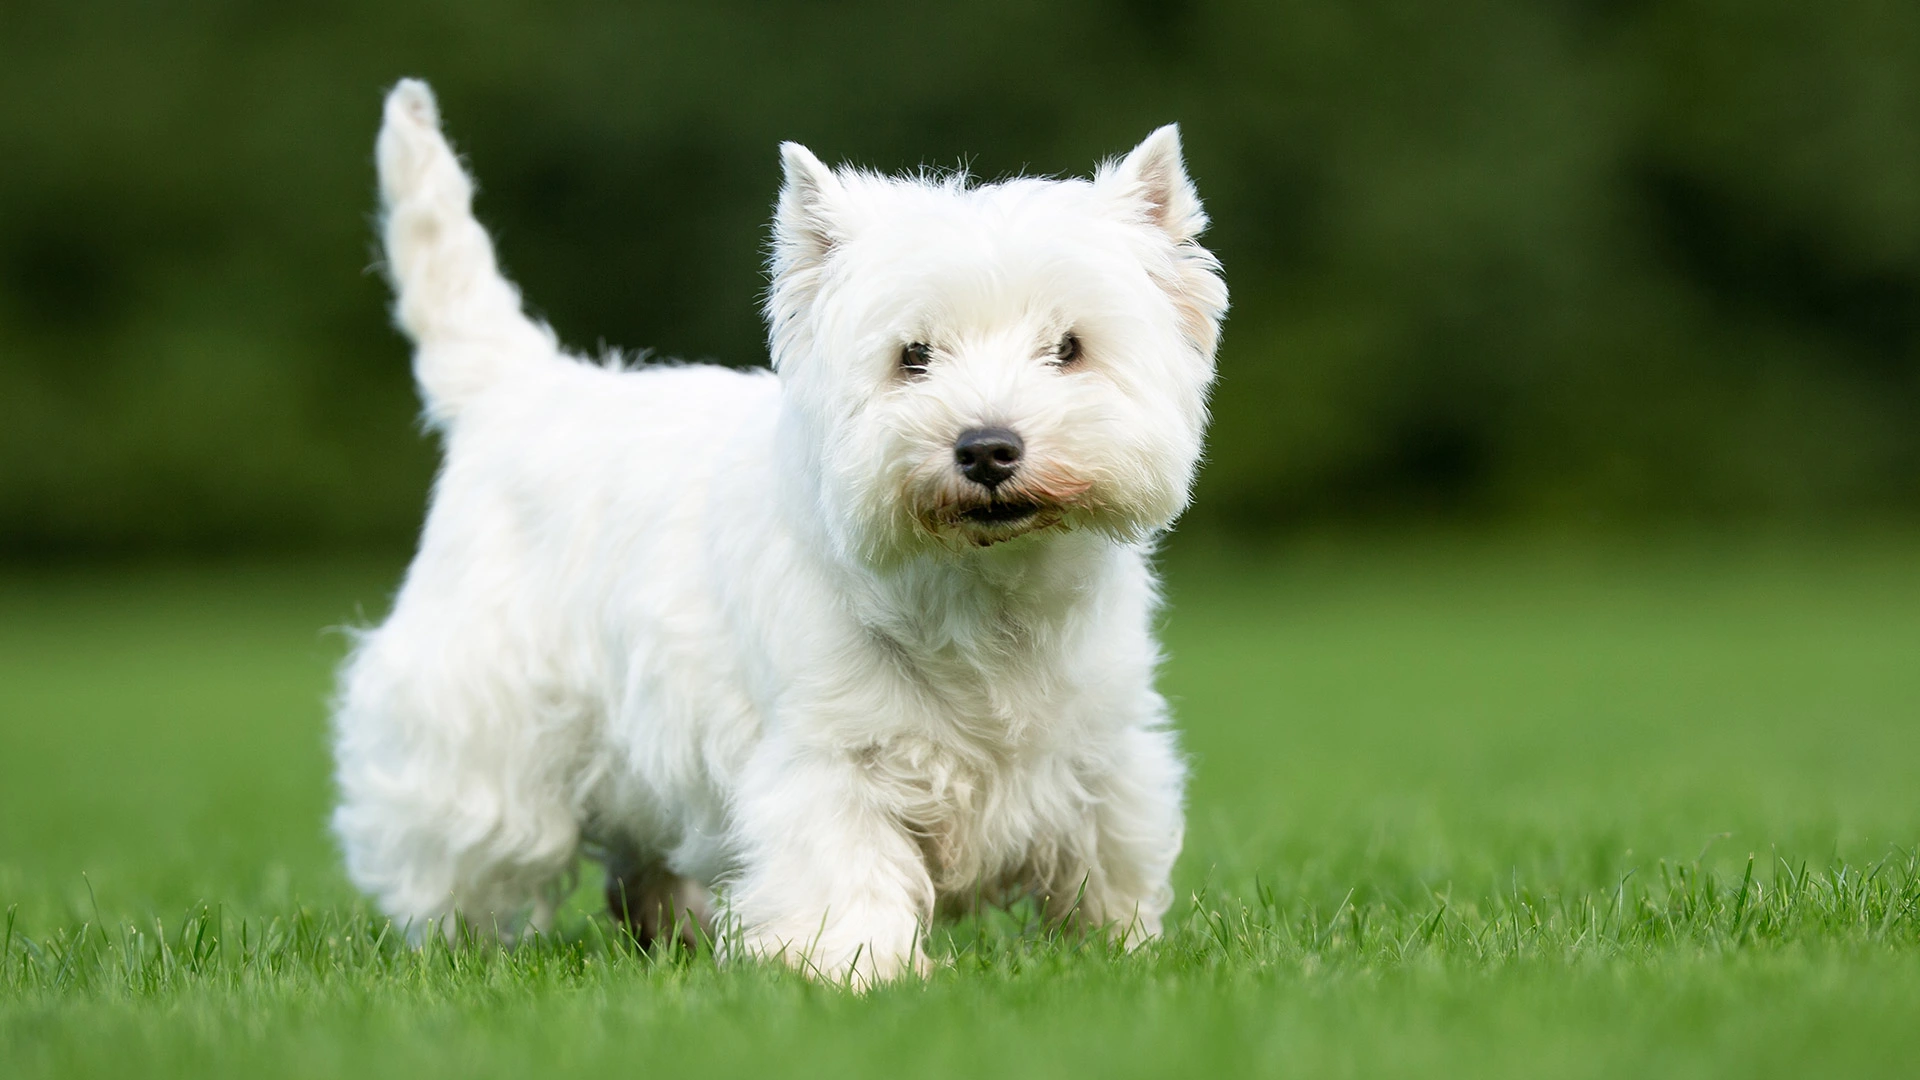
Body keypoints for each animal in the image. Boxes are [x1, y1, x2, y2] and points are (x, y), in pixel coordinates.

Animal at [330, 79, 1228, 980]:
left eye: (1069, 347)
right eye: (913, 355)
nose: (986, 448)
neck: (986, 593)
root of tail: (514, 388)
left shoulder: (1104, 751)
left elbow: (1106, 864)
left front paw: (1120, 952)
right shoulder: (829, 759)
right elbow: (845, 872)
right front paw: (855, 970)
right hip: (481, 726)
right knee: (461, 854)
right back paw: (457, 951)